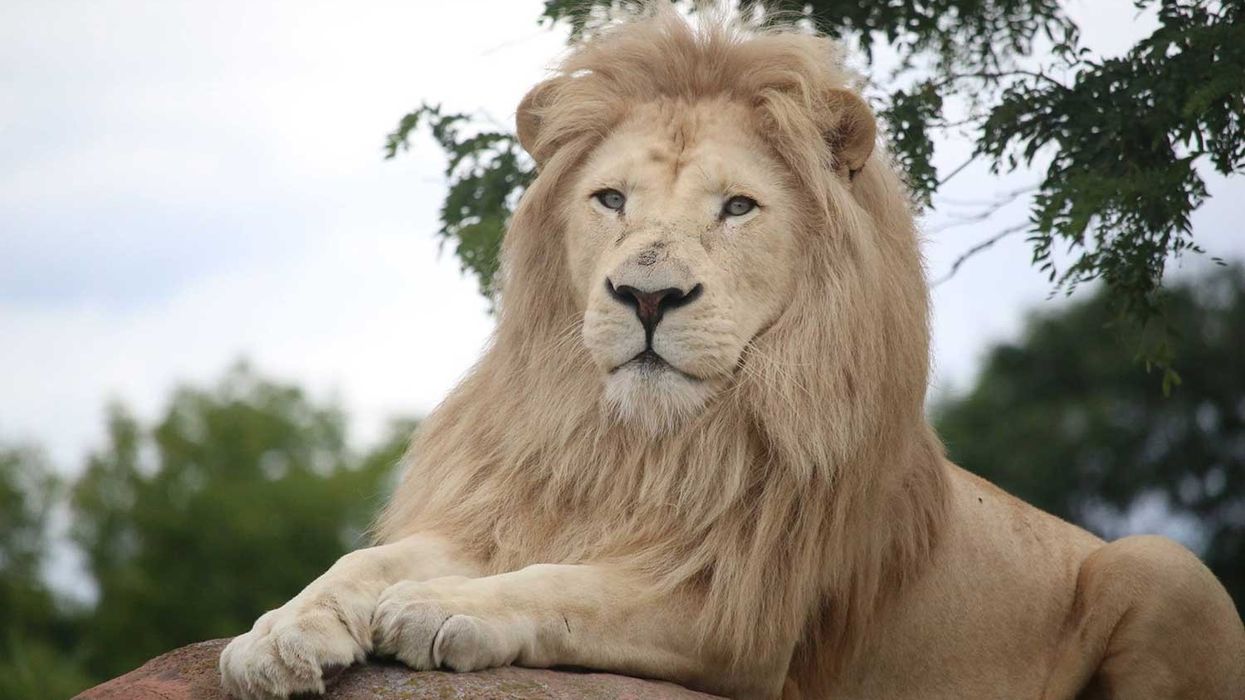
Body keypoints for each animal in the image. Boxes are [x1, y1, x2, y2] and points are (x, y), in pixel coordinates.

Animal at [218, 6, 1245, 700]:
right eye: (611, 200)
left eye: (738, 208)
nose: (647, 296)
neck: (643, 444)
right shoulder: (517, 515)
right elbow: (367, 565)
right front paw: (280, 632)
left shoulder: (741, 617)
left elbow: (570, 590)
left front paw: (442, 611)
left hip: (1162, 565)